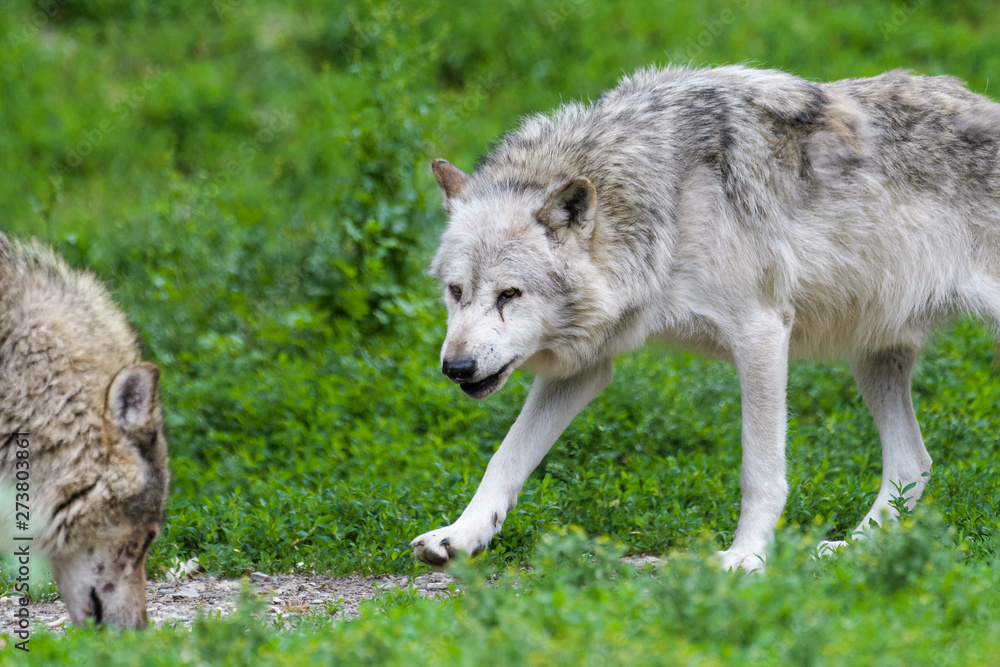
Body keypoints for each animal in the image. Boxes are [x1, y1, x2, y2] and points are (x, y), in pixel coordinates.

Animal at [410, 65, 1000, 572]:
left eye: (510, 294)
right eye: (456, 292)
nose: (455, 368)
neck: (664, 201)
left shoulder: (761, 333)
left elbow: (760, 472)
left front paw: (747, 557)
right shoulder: (586, 367)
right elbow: (505, 458)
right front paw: (460, 536)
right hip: (873, 359)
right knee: (913, 463)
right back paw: (852, 550)